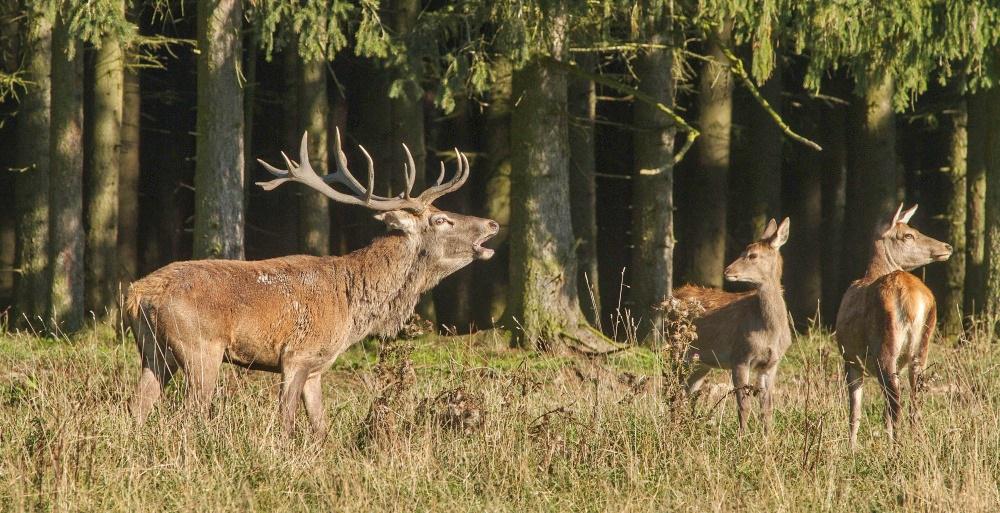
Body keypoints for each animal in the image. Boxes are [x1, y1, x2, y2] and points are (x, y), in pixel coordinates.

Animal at [127, 130, 498, 434]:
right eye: (441, 219)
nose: (492, 224)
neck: (352, 307)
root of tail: (138, 295)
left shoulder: (318, 367)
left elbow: (321, 428)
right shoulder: (297, 355)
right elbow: (286, 422)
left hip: (153, 350)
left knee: (137, 408)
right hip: (200, 348)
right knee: (187, 414)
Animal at [676, 218, 792, 430]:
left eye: (753, 255)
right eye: (742, 251)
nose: (727, 270)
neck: (769, 330)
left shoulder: (771, 363)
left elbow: (767, 408)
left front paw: (767, 437)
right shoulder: (739, 356)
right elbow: (743, 405)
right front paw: (742, 436)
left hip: (701, 362)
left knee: (686, 391)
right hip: (678, 350)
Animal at [836, 204, 952, 444]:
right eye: (908, 234)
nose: (947, 246)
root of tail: (913, 299)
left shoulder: (849, 357)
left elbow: (855, 410)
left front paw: (851, 447)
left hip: (884, 347)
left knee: (895, 402)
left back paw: (897, 445)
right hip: (922, 346)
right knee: (915, 400)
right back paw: (913, 441)